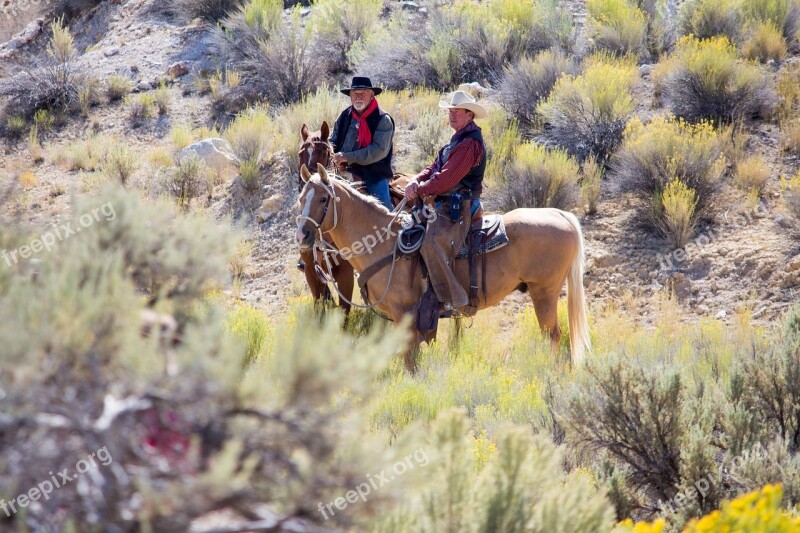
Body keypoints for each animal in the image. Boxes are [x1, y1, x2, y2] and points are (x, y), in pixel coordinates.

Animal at [296, 164, 592, 372]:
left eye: (323, 199)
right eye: (300, 198)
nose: (303, 236)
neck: (384, 243)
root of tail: (558, 213)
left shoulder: (405, 314)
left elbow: (411, 360)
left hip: (544, 292)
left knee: (553, 335)